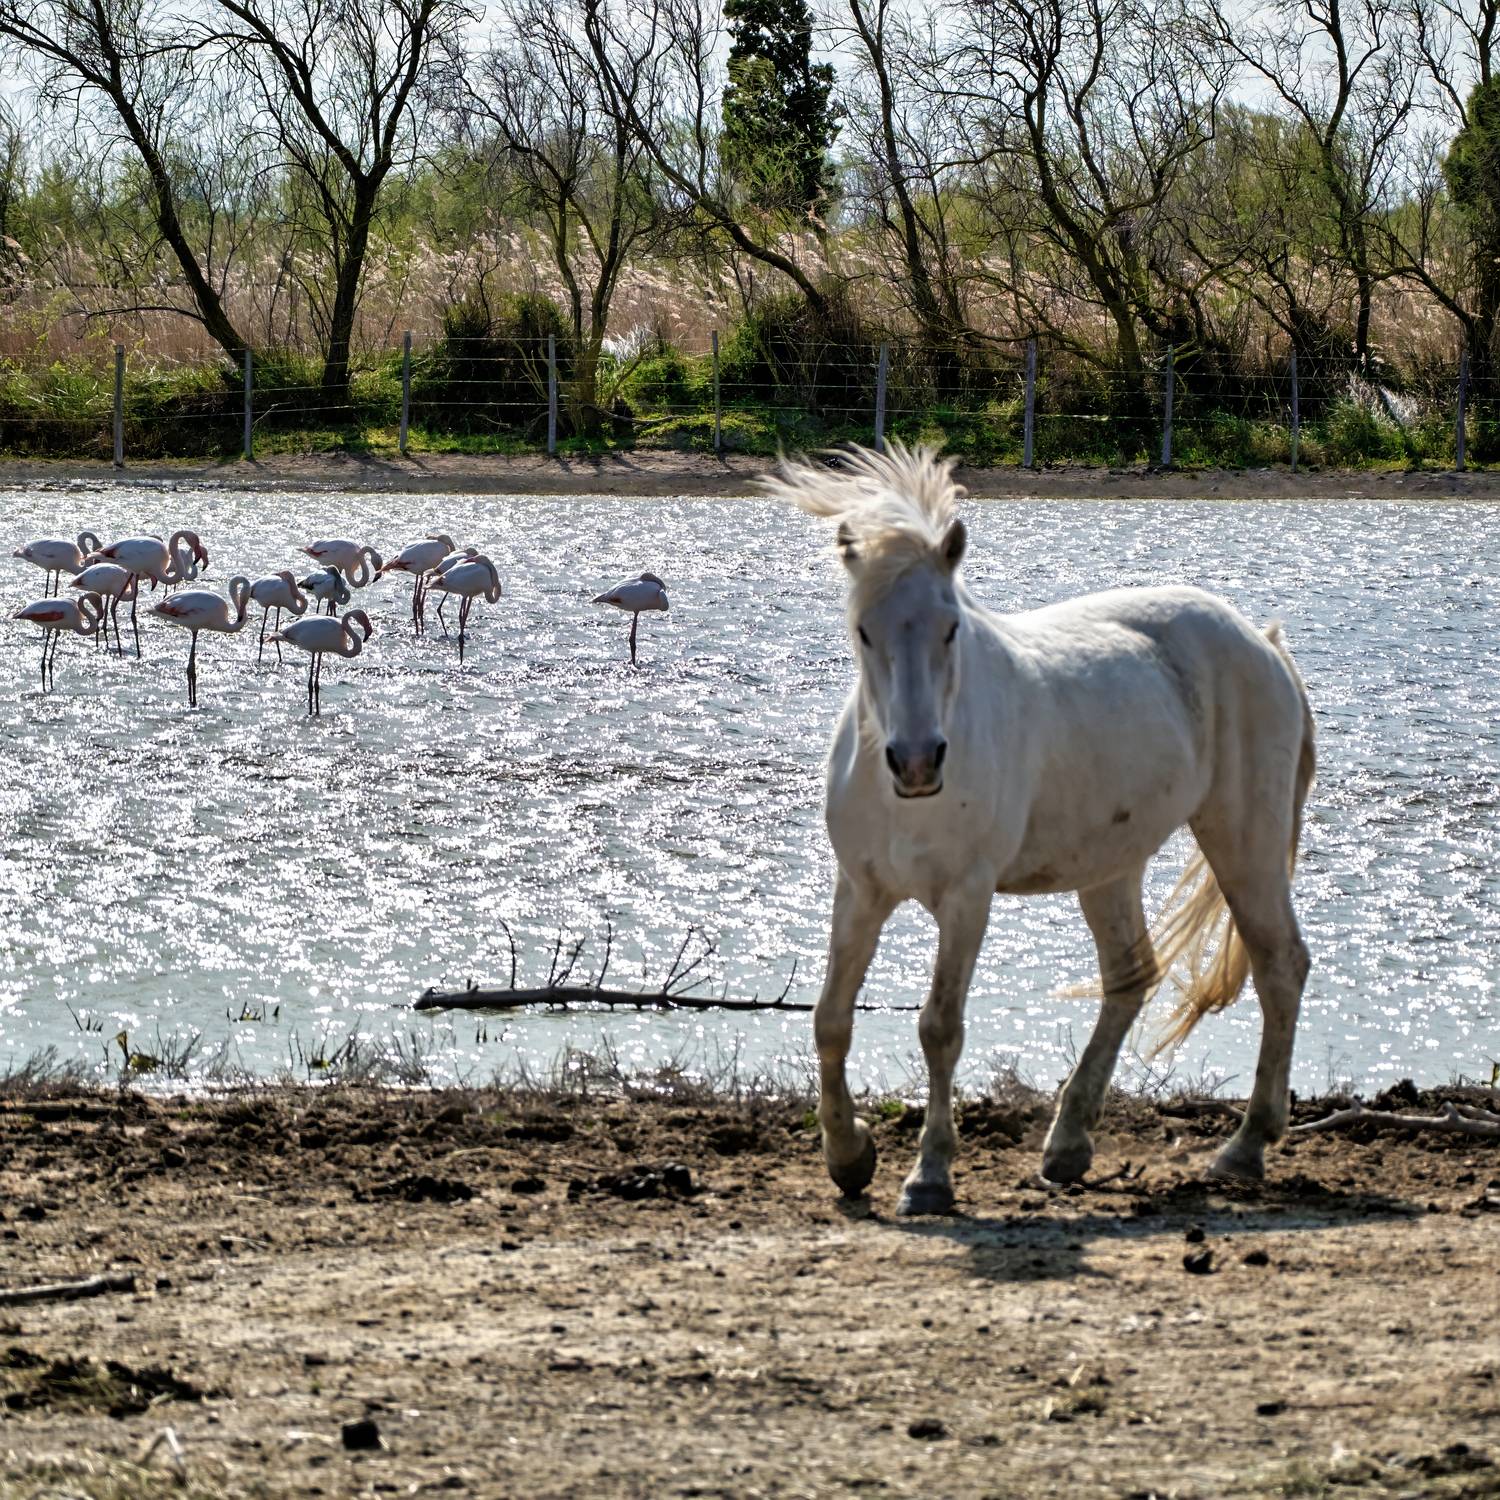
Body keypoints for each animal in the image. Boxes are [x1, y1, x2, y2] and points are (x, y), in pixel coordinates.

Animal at [763, 444, 1315, 1215]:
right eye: (864, 630)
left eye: (951, 627)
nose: (917, 761)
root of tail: (1259, 642)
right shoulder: (862, 890)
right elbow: (830, 1019)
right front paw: (848, 1157)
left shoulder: (966, 898)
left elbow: (940, 1027)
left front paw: (928, 1176)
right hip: (1111, 868)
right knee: (1130, 979)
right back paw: (1068, 1146)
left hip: (1244, 842)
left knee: (1278, 964)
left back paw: (1244, 1146)